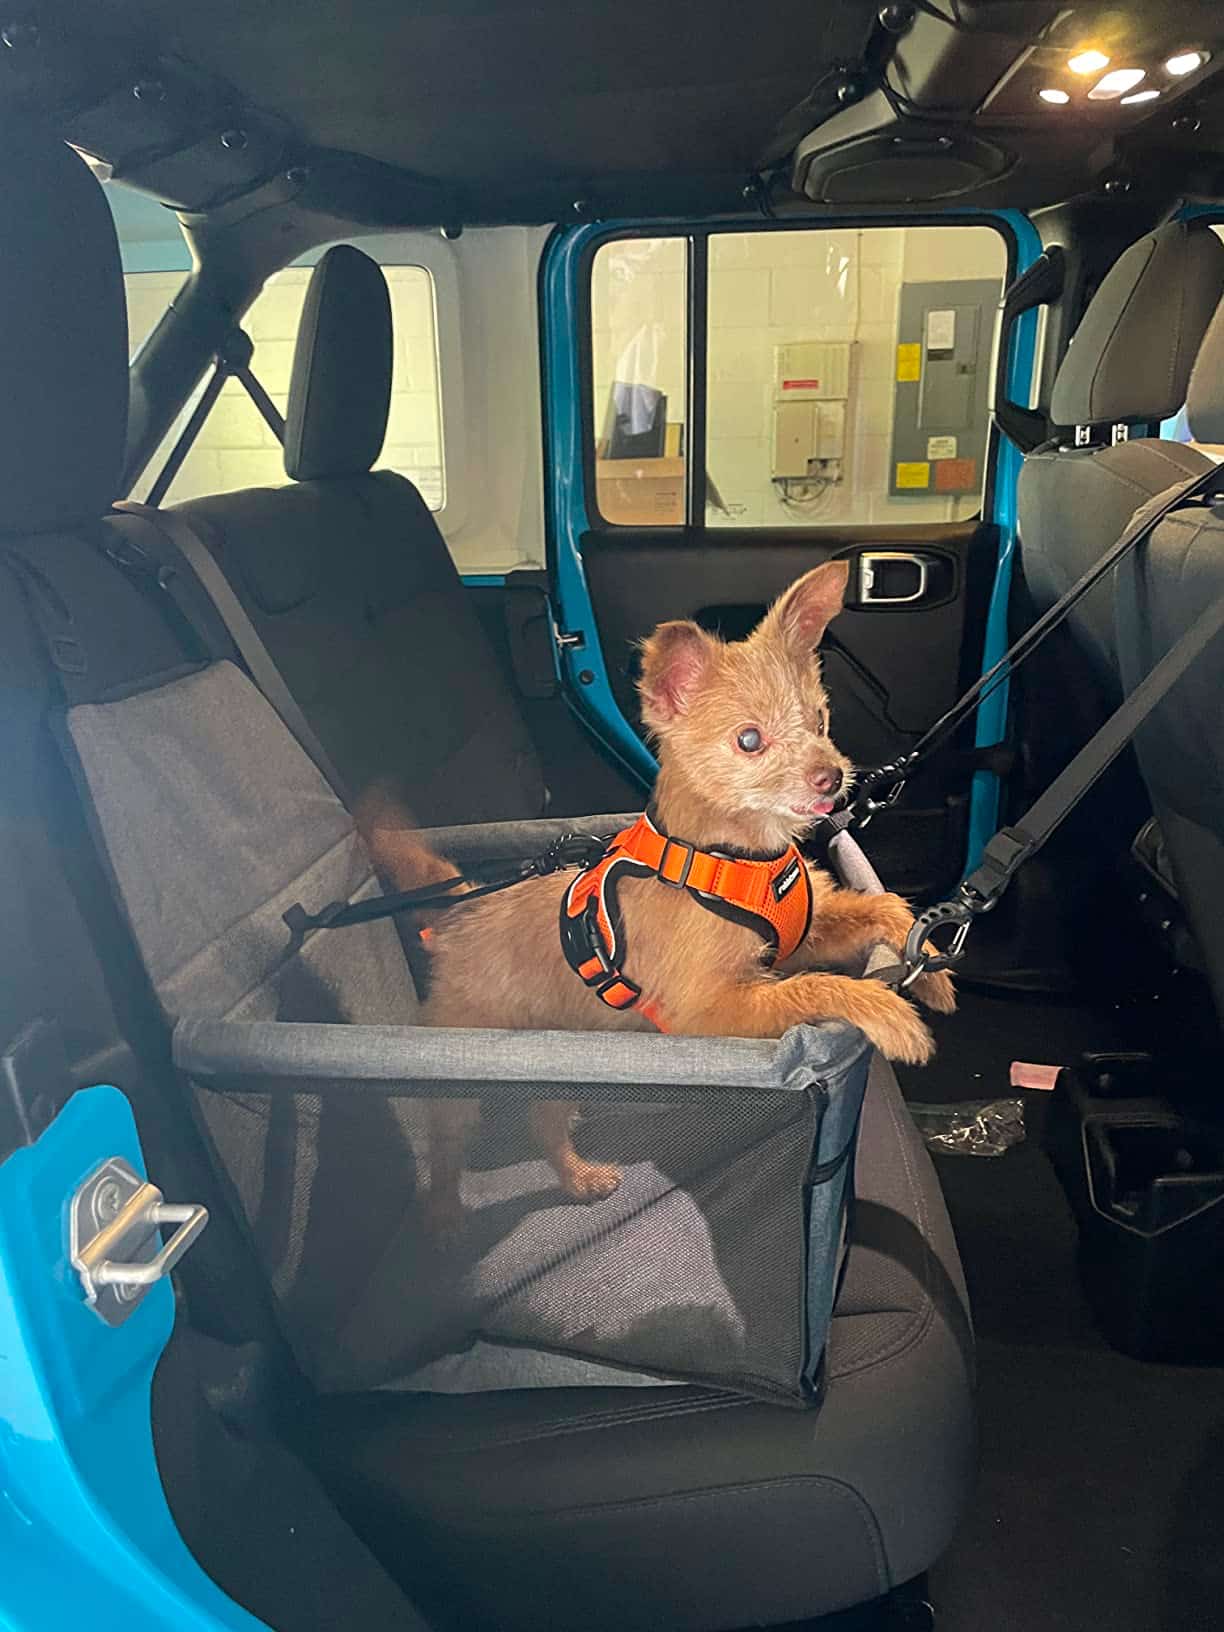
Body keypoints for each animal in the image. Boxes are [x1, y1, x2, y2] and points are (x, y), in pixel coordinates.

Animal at [360, 561, 954, 1233]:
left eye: (822, 720)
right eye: (750, 740)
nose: (831, 778)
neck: (736, 859)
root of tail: (465, 909)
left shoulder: (802, 934)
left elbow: (884, 907)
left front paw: (932, 970)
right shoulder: (708, 1011)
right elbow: (814, 988)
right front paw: (889, 1013)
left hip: (568, 1064)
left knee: (542, 1121)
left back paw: (577, 1178)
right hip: (465, 1076)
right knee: (447, 1146)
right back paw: (441, 1214)